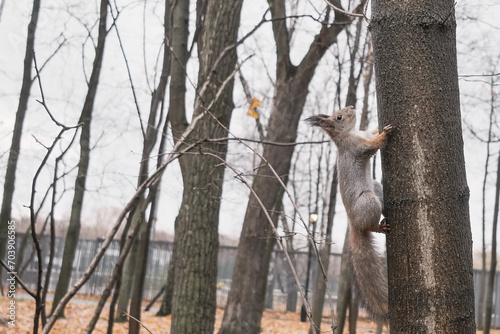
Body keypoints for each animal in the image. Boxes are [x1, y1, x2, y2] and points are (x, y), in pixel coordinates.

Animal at [304, 105, 394, 322]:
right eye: (339, 117)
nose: (352, 106)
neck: (350, 133)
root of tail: (354, 224)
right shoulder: (357, 147)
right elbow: (372, 145)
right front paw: (385, 133)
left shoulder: (362, 134)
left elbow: (370, 132)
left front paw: (377, 126)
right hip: (368, 202)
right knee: (371, 226)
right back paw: (380, 226)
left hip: (376, 188)